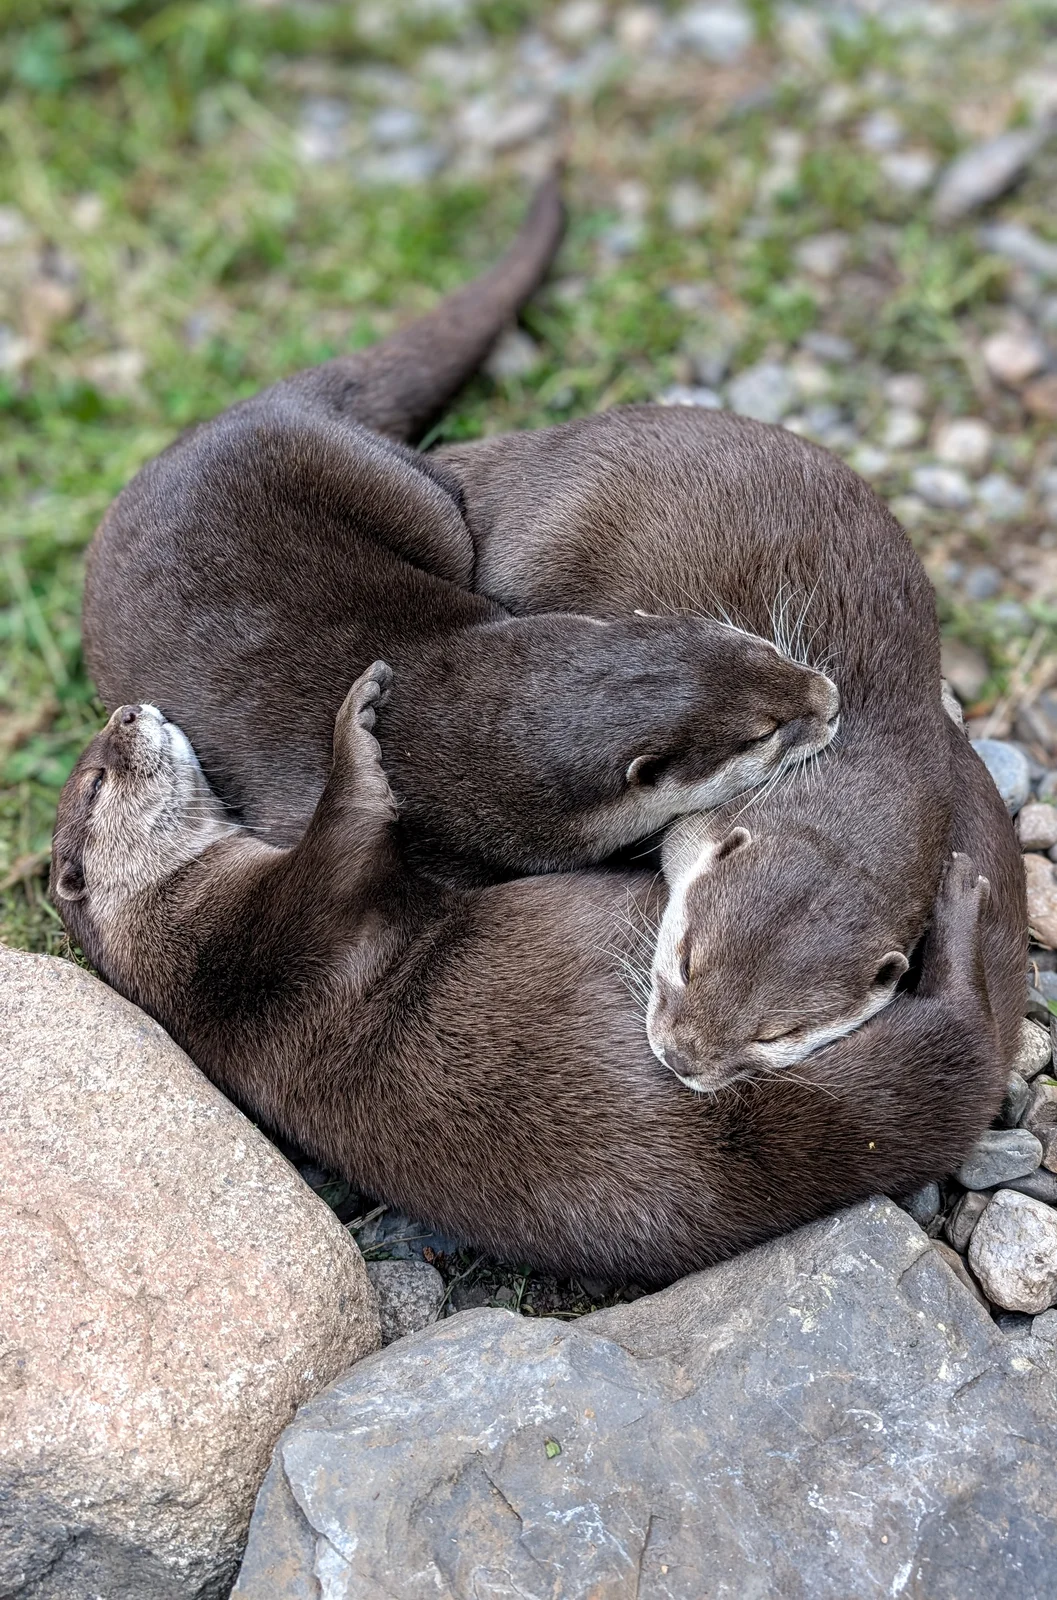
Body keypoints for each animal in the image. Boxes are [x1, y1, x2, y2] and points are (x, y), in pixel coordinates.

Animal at [50, 674, 1000, 1286]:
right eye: (96, 779)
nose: (126, 711)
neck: (196, 935)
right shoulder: (287, 929)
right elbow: (349, 823)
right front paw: (356, 717)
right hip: (848, 1098)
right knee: (961, 1040)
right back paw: (962, 900)